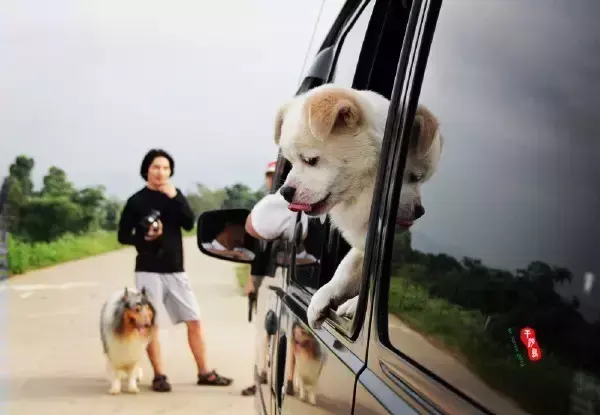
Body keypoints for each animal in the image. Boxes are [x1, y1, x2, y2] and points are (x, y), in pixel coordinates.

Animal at [274, 84, 442, 330]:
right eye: (292, 161)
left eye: (310, 160)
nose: (285, 192)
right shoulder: (365, 246)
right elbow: (346, 271)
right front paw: (322, 298)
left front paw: (353, 305)